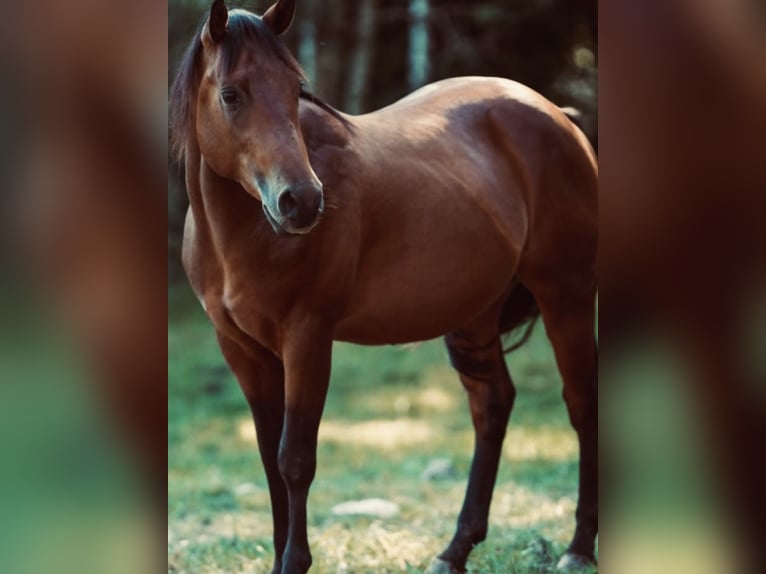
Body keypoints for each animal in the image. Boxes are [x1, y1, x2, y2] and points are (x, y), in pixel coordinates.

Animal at [169, 1, 597, 572]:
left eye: (295, 88)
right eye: (231, 94)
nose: (302, 201)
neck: (242, 233)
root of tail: (558, 117)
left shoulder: (307, 338)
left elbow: (294, 459)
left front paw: (295, 560)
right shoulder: (241, 348)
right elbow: (267, 457)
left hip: (565, 295)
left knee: (581, 402)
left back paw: (578, 547)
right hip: (475, 316)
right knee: (492, 407)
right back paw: (455, 550)